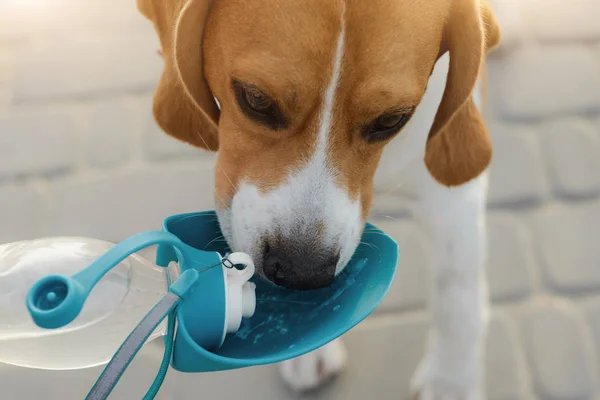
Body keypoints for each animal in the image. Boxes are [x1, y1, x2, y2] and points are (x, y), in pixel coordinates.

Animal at [138, 0, 500, 396]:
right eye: (256, 99)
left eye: (392, 120)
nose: (301, 272)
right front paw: (307, 349)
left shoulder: (453, 198)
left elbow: (456, 295)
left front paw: (451, 382)